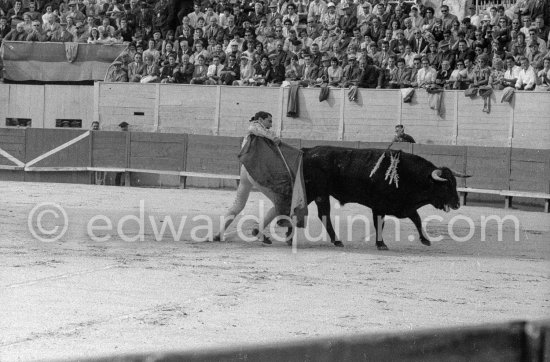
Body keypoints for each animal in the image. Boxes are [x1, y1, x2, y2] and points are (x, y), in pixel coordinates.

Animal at [286, 146, 472, 250]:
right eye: (446, 185)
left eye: (455, 184)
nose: (457, 204)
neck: (409, 175)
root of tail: (307, 151)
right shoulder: (379, 206)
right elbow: (379, 223)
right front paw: (381, 244)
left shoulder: (405, 206)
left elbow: (417, 220)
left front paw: (425, 240)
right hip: (316, 191)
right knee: (313, 213)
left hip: (318, 193)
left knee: (316, 213)